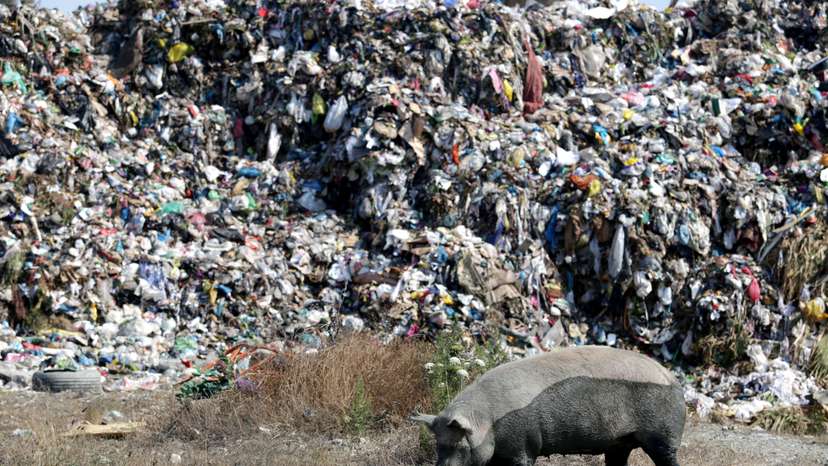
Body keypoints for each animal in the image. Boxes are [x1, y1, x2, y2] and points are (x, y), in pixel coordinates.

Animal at [412, 345, 685, 466]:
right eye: (438, 445)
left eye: (460, 445)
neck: (488, 420)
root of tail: (673, 379)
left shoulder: (522, 444)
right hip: (619, 443)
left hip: (663, 433)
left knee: (667, 456)